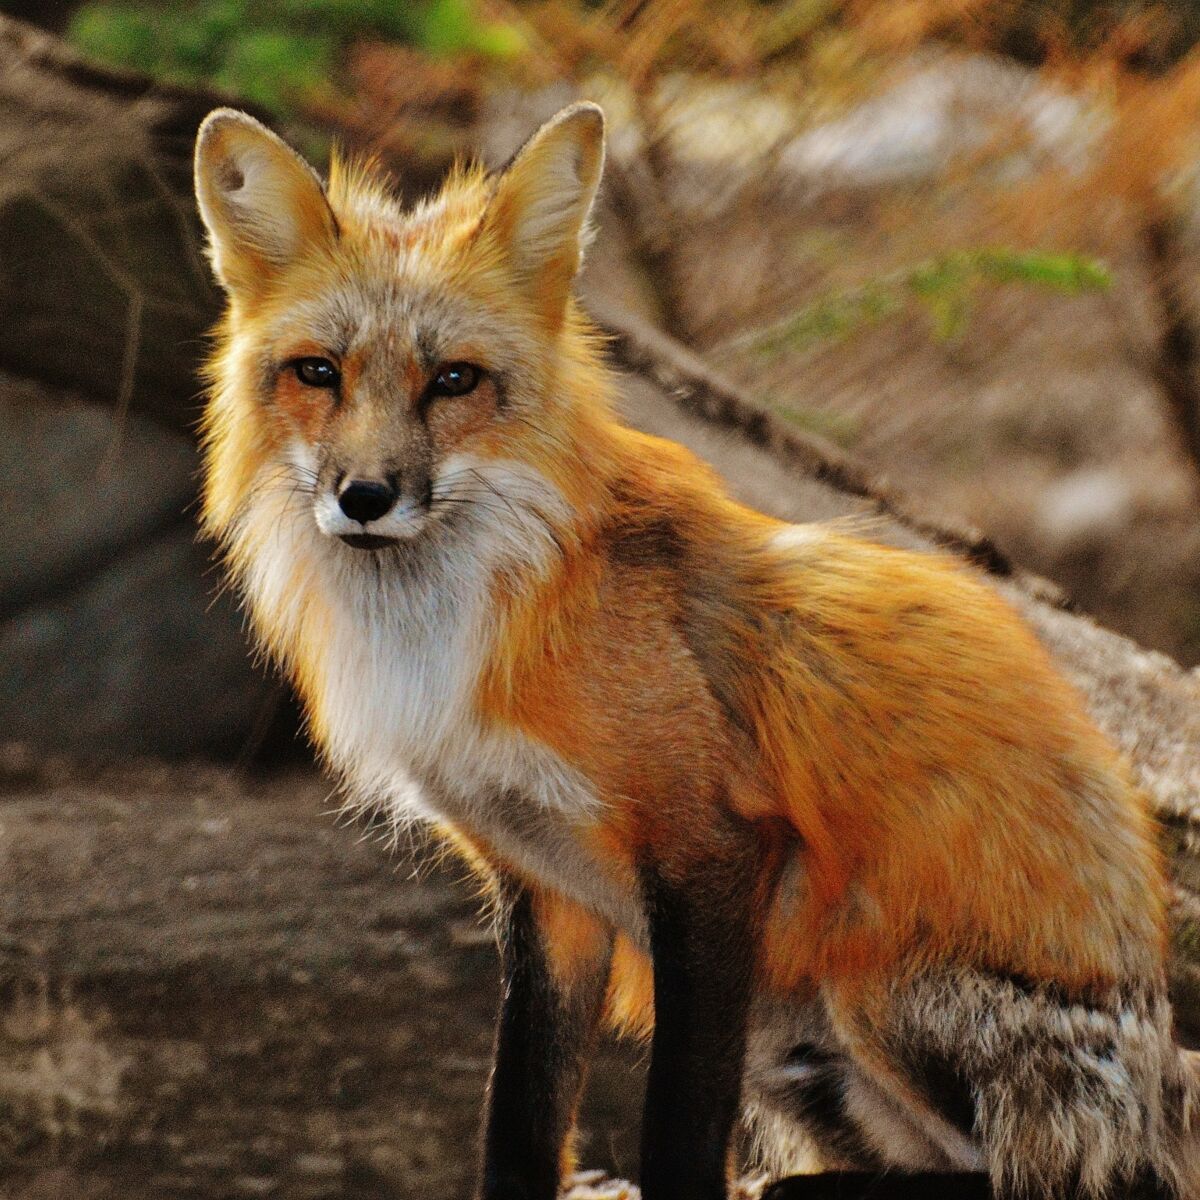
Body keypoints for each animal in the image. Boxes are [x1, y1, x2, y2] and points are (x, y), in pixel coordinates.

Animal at [192, 105, 1195, 1200]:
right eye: (317, 373)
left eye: (454, 380)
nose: (364, 497)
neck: (467, 617)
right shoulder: (546, 892)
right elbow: (519, 1117)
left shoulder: (712, 853)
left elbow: (677, 1123)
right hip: (790, 1047)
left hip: (867, 981)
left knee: (1034, 1177)